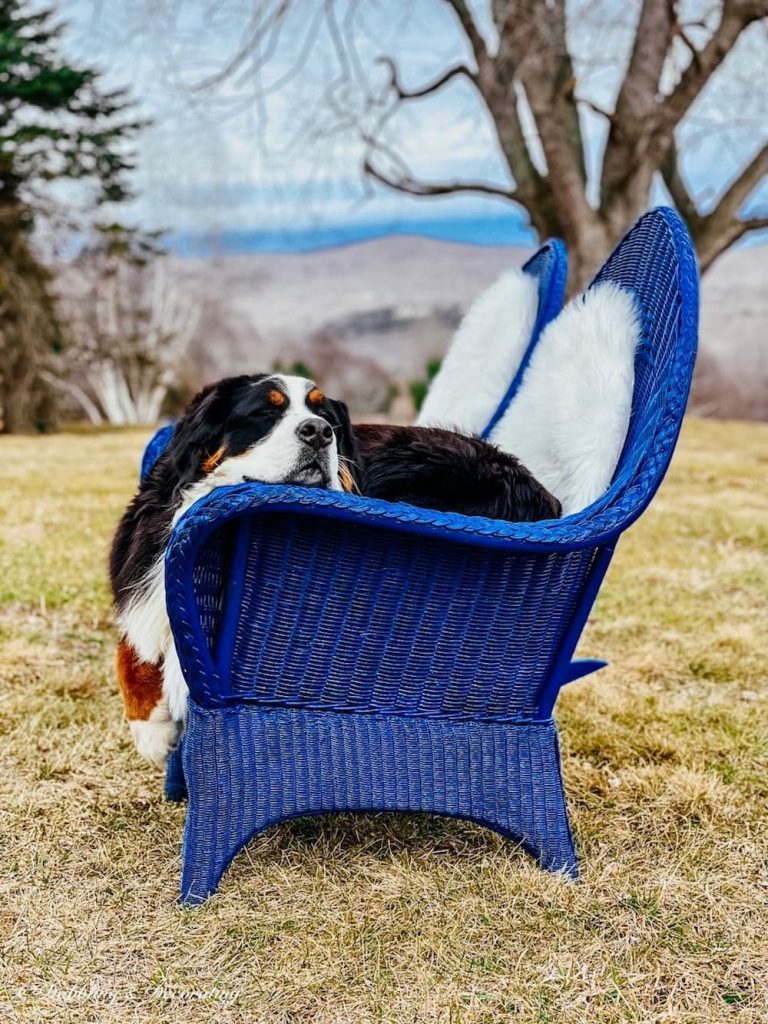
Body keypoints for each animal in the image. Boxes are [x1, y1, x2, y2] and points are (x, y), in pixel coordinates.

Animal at [109, 372, 561, 765]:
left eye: (323, 414)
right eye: (265, 411)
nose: (318, 431)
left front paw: (156, 728)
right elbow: (130, 645)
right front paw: (150, 728)